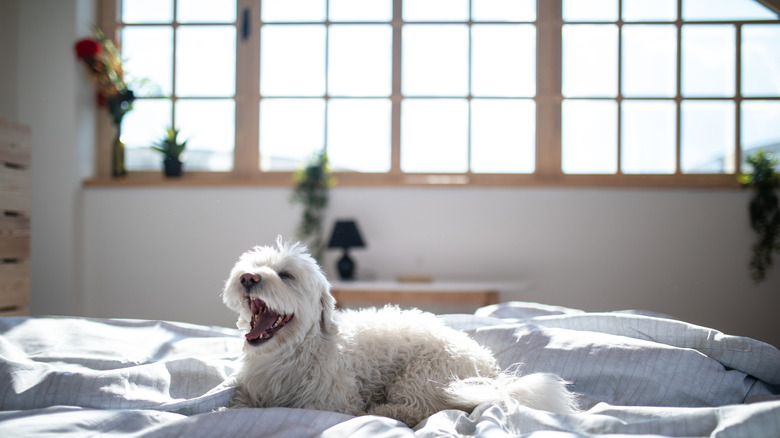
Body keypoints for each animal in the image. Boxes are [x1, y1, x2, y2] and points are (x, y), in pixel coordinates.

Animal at [222, 238, 576, 426]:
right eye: (253, 266)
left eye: (286, 275)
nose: (248, 277)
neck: (290, 353)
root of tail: (491, 370)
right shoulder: (249, 394)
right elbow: (236, 406)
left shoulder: (333, 403)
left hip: (420, 376)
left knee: (424, 409)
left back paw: (385, 411)